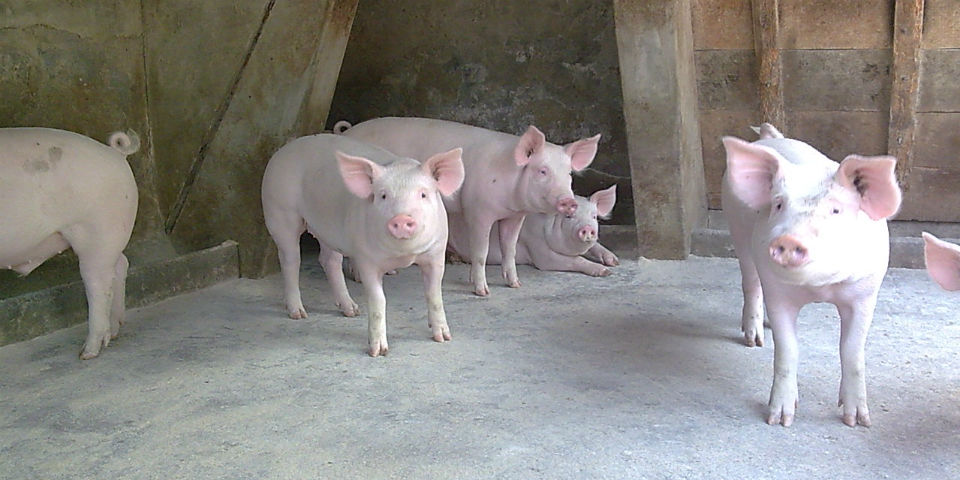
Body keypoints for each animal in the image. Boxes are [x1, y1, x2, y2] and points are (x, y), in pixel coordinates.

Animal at [0, 127, 139, 359]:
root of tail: (116, 153)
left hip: (97, 229)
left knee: (98, 284)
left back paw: (87, 353)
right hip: (109, 235)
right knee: (119, 266)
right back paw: (114, 331)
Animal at [261, 133, 464, 357]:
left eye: (423, 194)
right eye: (383, 195)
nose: (401, 218)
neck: (403, 255)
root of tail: (283, 150)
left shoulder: (436, 253)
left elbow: (434, 294)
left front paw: (443, 338)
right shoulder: (367, 259)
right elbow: (378, 300)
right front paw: (378, 352)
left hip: (328, 230)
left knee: (329, 260)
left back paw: (351, 310)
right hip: (280, 212)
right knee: (290, 260)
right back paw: (298, 313)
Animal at [335, 117, 600, 296]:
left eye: (569, 173)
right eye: (542, 171)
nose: (569, 201)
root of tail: (350, 131)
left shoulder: (515, 215)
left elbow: (510, 248)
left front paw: (515, 284)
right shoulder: (478, 211)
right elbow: (480, 250)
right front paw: (482, 291)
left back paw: (391, 272)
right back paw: (358, 277)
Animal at [447, 185, 619, 276]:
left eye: (594, 216)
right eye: (569, 216)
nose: (587, 228)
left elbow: (596, 246)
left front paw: (614, 262)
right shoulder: (537, 247)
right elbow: (575, 260)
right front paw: (605, 272)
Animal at [721, 123, 901, 427]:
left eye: (836, 209)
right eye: (779, 205)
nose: (789, 239)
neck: (820, 288)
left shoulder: (865, 294)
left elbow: (852, 350)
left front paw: (857, 421)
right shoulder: (779, 294)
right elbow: (787, 349)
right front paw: (779, 420)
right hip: (738, 233)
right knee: (751, 283)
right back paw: (754, 340)